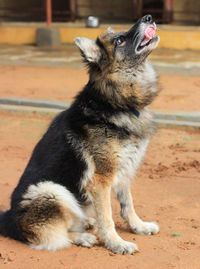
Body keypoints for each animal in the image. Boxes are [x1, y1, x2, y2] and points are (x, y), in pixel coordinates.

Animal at [0, 14, 160, 253]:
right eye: (120, 40)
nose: (148, 17)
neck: (113, 100)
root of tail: (8, 219)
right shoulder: (101, 180)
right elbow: (108, 218)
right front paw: (116, 243)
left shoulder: (124, 169)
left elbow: (128, 205)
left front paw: (139, 226)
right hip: (51, 190)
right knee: (52, 236)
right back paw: (83, 237)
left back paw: (86, 224)